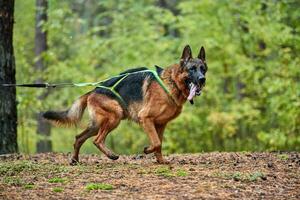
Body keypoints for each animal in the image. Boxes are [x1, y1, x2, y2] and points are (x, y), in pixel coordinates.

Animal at [43, 45, 207, 164]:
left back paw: (75, 160)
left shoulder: (160, 124)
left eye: (203, 69)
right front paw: (147, 150)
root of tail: (93, 90)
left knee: (79, 138)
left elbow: (159, 143)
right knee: (97, 140)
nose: (202, 79)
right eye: (192, 69)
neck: (172, 83)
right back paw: (111, 155)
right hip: (115, 116)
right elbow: (156, 143)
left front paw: (160, 161)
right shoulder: (146, 118)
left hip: (97, 124)